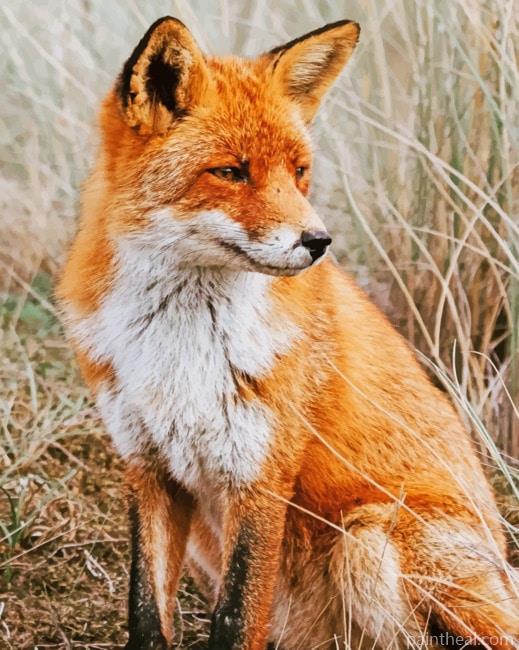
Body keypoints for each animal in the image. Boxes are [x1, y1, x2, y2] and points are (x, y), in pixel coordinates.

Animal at [57, 15, 519, 650]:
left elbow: (234, 618)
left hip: (369, 542)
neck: (179, 349)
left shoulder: (260, 474)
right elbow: (146, 614)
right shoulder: (149, 468)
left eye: (299, 173)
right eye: (230, 172)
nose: (318, 241)